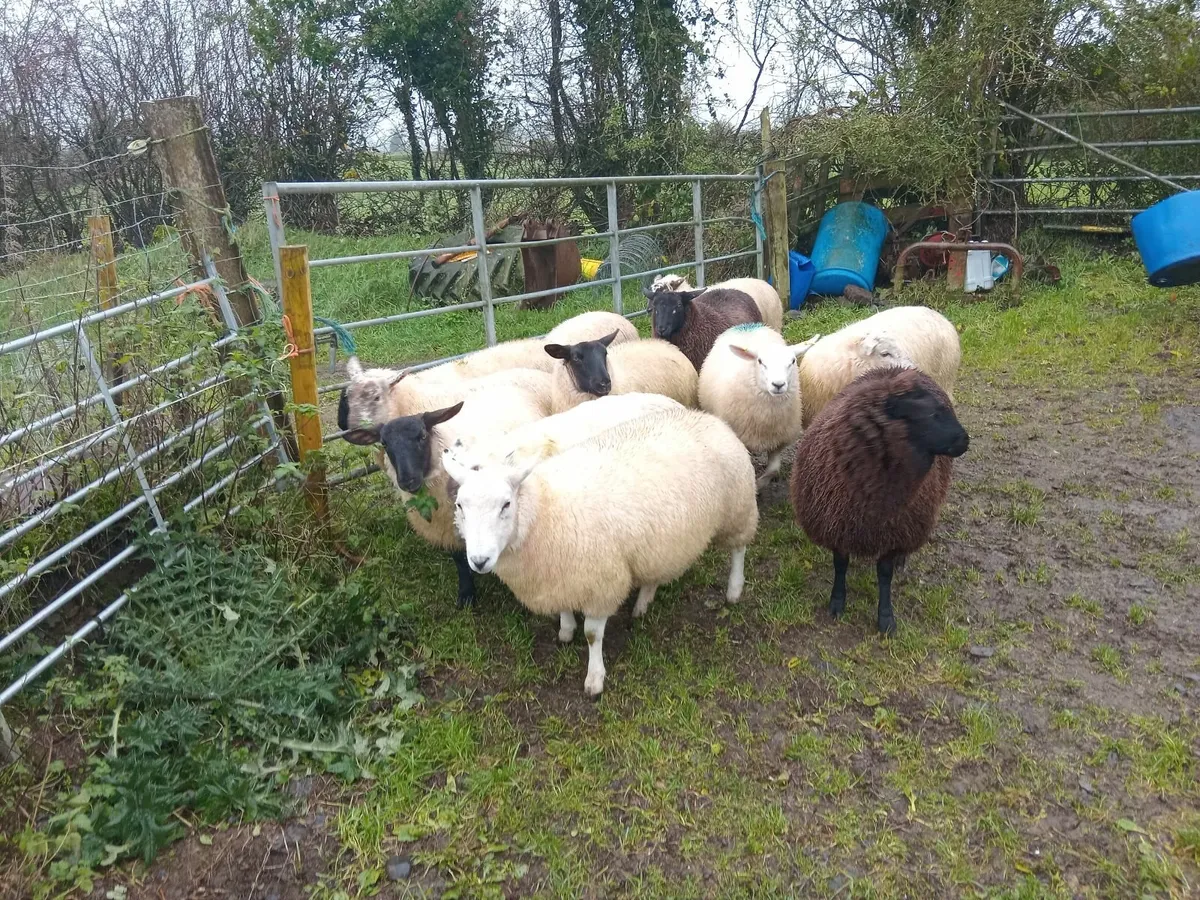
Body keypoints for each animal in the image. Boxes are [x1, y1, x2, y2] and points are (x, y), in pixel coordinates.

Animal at [341, 378, 548, 609]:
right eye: (384, 444)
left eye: (422, 436)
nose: (407, 481)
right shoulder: (449, 526)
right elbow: (459, 559)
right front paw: (466, 593)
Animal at [442, 407, 759, 696]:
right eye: (459, 505)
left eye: (506, 504)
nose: (479, 561)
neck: (545, 510)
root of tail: (708, 417)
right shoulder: (560, 575)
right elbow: (564, 609)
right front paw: (566, 629)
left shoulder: (600, 583)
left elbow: (593, 635)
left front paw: (594, 679)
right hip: (660, 541)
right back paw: (643, 603)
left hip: (738, 507)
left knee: (739, 549)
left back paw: (734, 589)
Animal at [697, 324, 822, 490]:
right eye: (760, 361)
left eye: (793, 361)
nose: (778, 384)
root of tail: (748, 326)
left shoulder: (779, 440)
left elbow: (774, 470)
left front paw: (760, 484)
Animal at [789, 366, 969, 635]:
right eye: (931, 413)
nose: (966, 440)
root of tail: (898, 368)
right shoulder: (837, 525)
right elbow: (840, 565)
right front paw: (837, 602)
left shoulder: (893, 533)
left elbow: (884, 575)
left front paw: (885, 618)